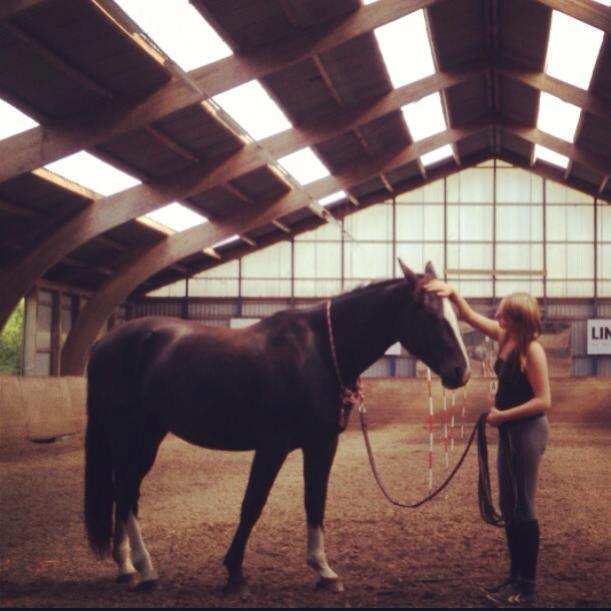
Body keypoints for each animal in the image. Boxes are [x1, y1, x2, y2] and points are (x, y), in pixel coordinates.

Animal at [83, 260, 470, 596]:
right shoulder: (273, 445)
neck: (320, 352)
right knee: (128, 492)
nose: (461, 372)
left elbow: (315, 501)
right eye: (433, 315)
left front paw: (324, 571)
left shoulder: (322, 444)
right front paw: (235, 572)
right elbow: (252, 504)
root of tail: (104, 343)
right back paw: (146, 569)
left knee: (123, 490)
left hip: (141, 437)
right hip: (138, 436)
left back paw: (126, 567)